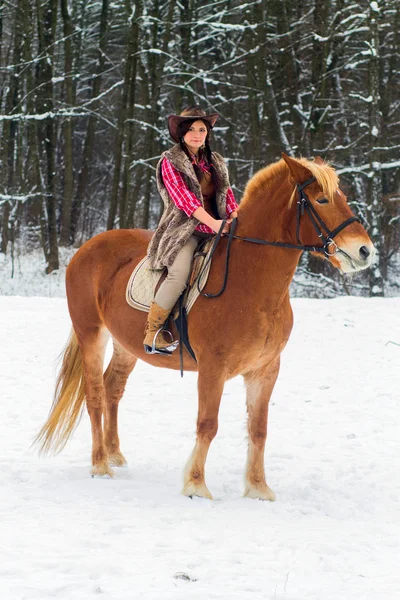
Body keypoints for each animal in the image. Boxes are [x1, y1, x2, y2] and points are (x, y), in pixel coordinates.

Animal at [36, 152, 376, 500]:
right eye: (321, 199)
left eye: (342, 197)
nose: (366, 251)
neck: (250, 280)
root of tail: (85, 249)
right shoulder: (214, 367)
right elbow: (208, 424)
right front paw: (196, 485)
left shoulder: (265, 370)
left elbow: (258, 429)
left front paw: (258, 487)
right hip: (91, 333)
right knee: (94, 395)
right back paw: (101, 465)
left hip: (125, 345)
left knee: (111, 389)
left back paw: (115, 454)